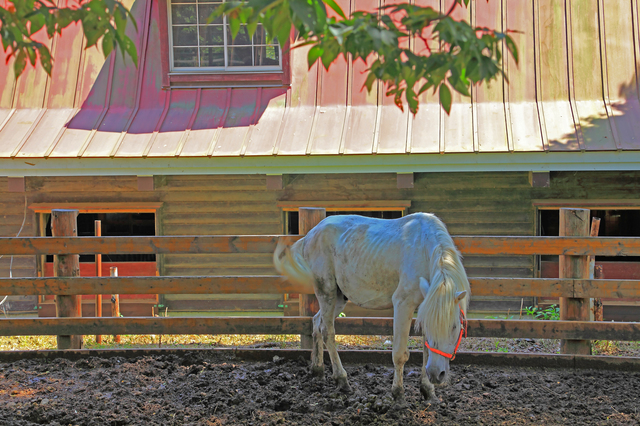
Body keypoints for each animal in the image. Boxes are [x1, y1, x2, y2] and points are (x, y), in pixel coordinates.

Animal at [274, 213, 470, 402]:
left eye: (455, 327)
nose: (437, 375)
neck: (424, 249)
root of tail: (311, 234)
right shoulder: (403, 304)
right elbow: (400, 354)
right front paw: (398, 394)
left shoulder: (426, 306)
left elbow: (426, 352)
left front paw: (428, 392)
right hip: (326, 291)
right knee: (327, 331)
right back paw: (342, 380)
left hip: (339, 297)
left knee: (316, 322)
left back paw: (318, 370)